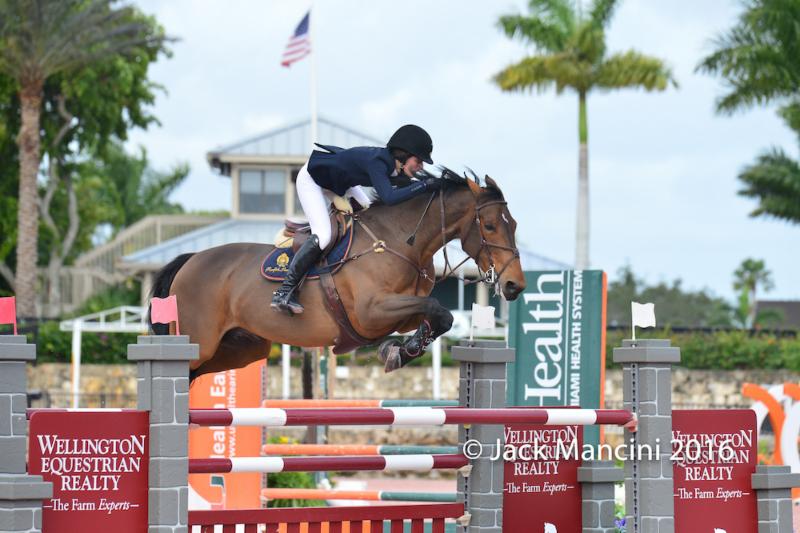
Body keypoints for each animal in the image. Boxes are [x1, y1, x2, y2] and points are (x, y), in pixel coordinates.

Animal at [149, 170, 524, 378]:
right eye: (490, 225)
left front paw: (399, 351)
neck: (399, 240)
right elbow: (437, 309)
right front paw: (397, 352)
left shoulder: (398, 312)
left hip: (244, 348)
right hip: (200, 342)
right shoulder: (371, 313)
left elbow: (440, 316)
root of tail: (191, 260)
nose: (515, 285)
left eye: (515, 224)